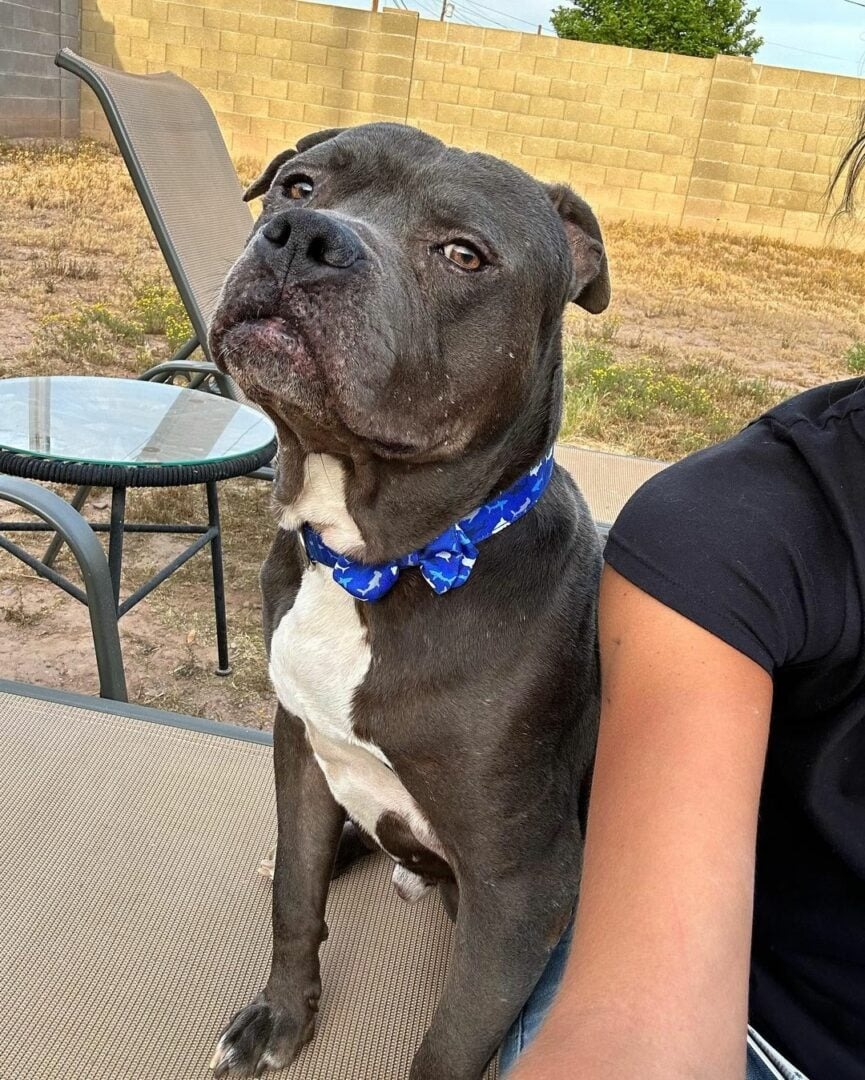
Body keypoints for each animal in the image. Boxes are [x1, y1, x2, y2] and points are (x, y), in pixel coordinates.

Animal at [209, 124, 609, 1080]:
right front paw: (280, 1018)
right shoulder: (299, 750)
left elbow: (452, 1041)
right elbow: (294, 896)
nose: (303, 238)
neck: (374, 565)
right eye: (297, 184)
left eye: (463, 254)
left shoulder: (520, 892)